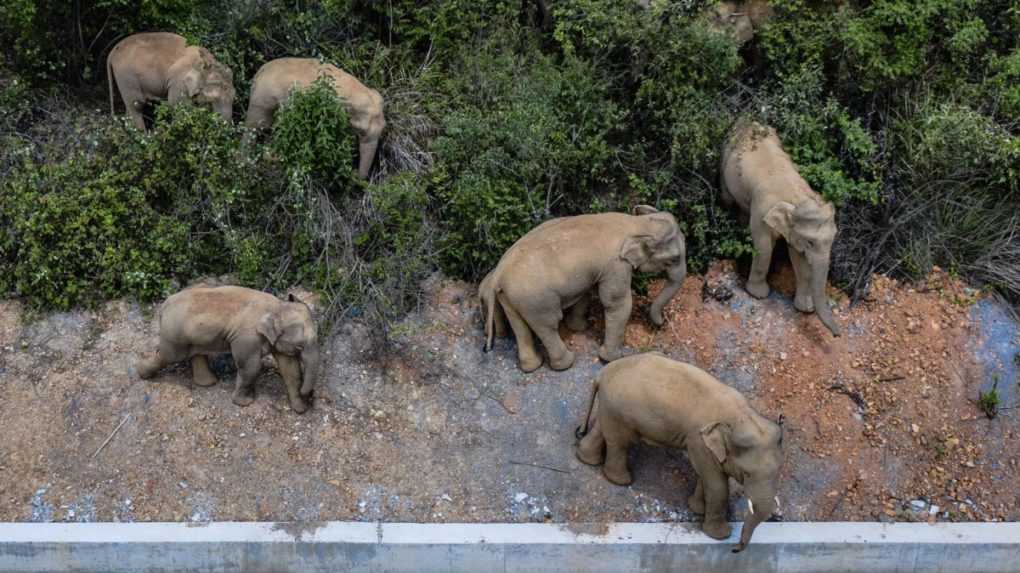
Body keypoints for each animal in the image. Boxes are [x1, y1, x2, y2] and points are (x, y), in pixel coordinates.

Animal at [134, 283, 318, 409]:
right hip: (175, 334)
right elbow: (251, 367)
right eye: (300, 347)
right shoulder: (246, 338)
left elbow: (290, 368)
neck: (277, 306)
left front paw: (300, 409)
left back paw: (209, 383)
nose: (310, 396)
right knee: (168, 355)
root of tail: (164, 306)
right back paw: (142, 373)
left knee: (195, 353)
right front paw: (244, 403)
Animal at [243, 57, 385, 178]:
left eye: (383, 128)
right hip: (262, 100)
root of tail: (258, 73)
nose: (354, 173)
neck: (357, 90)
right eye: (361, 130)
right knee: (255, 127)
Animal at [477, 204, 685, 371]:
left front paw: (580, 328)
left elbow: (585, 292)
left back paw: (531, 367)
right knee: (548, 324)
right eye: (673, 259)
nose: (660, 324)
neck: (636, 223)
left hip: (511, 297)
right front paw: (611, 358)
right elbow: (617, 303)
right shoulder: (616, 265)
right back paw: (566, 363)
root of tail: (499, 273)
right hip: (535, 300)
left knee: (520, 326)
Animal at [579, 350, 783, 550]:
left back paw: (587, 459)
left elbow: (705, 476)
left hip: (611, 407)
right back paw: (621, 481)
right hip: (620, 409)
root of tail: (603, 372)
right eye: (747, 474)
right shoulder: (698, 440)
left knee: (602, 429)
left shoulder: (703, 445)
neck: (742, 416)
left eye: (777, 472)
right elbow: (717, 485)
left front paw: (697, 509)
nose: (735, 548)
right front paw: (720, 536)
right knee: (620, 441)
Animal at [722, 120, 840, 334]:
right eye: (810, 242)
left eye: (833, 239)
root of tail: (747, 120)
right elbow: (763, 247)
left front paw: (805, 308)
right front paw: (758, 295)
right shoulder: (761, 210)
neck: (797, 198)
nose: (837, 335)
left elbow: (798, 258)